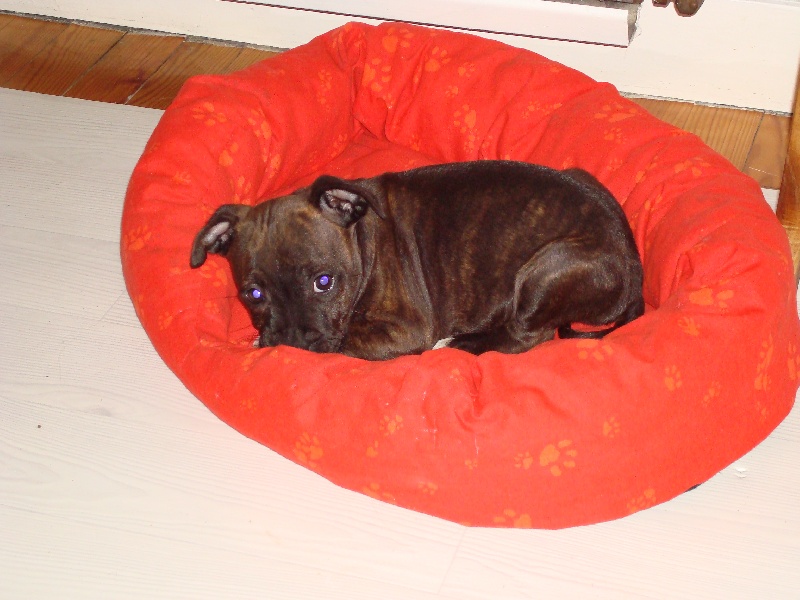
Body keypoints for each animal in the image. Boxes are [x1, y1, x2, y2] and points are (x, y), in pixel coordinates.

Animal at [190, 160, 644, 360]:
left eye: (324, 282)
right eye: (253, 294)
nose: (292, 342)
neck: (362, 241)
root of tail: (634, 265)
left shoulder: (405, 329)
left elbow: (346, 344)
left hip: (544, 273)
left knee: (527, 335)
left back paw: (460, 344)